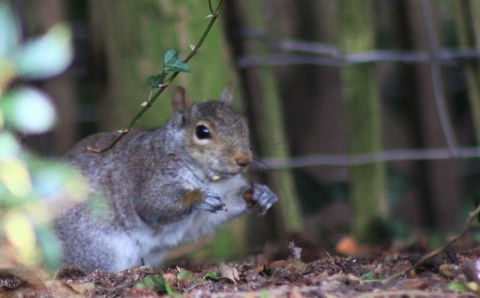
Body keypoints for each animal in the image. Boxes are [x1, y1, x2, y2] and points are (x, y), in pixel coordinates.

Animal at [53, 84, 278, 272]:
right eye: (202, 131)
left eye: (243, 124)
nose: (244, 159)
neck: (212, 178)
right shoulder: (150, 174)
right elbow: (152, 203)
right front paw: (197, 197)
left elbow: (223, 209)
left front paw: (260, 194)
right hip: (97, 245)